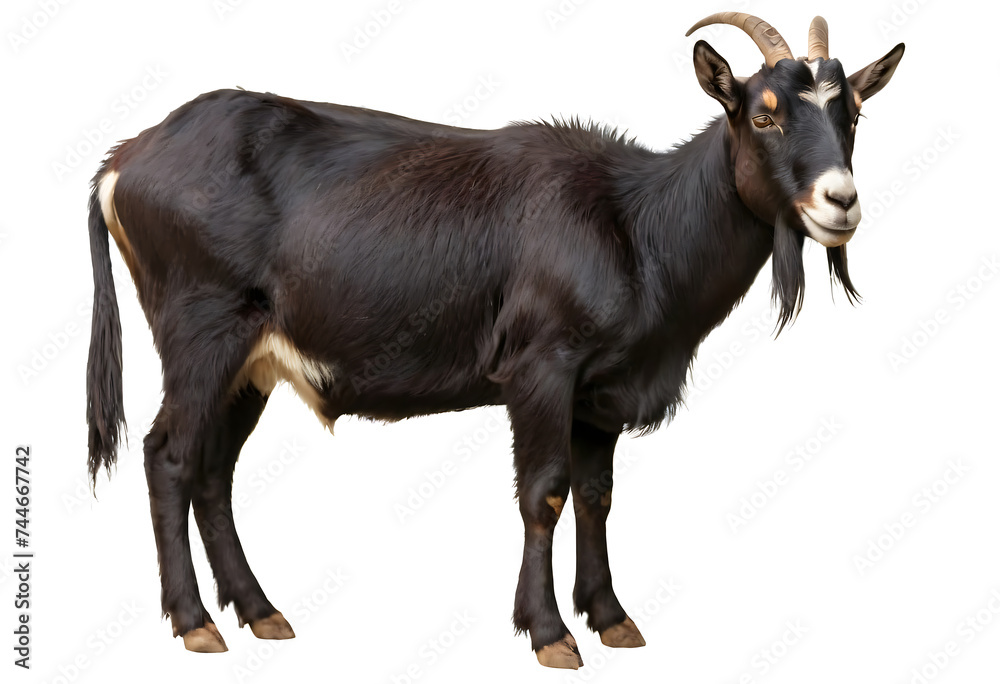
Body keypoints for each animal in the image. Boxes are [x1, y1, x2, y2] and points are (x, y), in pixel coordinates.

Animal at [86, 12, 903, 668]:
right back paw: (196, 624)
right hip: (203, 333)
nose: (840, 201)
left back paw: (261, 613)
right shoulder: (541, 367)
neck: (634, 223)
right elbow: (545, 493)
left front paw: (612, 619)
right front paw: (549, 634)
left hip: (249, 365)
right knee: (169, 457)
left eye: (854, 114)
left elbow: (598, 496)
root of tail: (122, 160)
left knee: (213, 472)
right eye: (762, 116)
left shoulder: (599, 396)